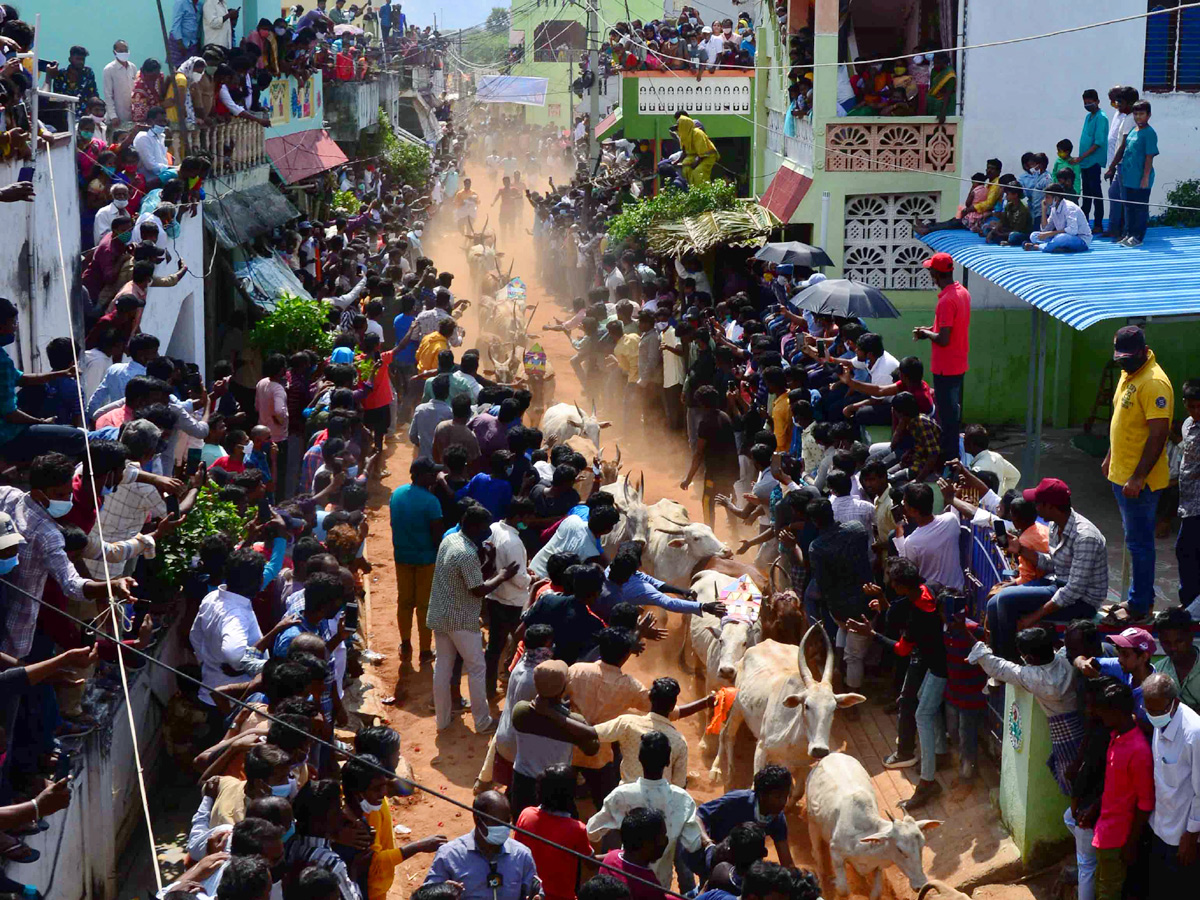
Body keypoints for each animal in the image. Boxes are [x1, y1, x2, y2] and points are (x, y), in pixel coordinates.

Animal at [705, 628, 868, 796]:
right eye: (807, 705)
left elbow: (797, 793)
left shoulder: (801, 765)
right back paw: (720, 771)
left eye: (834, 708)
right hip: (738, 707)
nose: (819, 750)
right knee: (726, 733)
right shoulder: (761, 748)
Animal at [801, 753, 940, 900]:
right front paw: (833, 883)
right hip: (813, 824)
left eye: (922, 845)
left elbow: (876, 893)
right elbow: (843, 889)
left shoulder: (877, 867)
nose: (921, 884)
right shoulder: (836, 853)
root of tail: (831, 754)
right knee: (817, 852)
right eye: (900, 849)